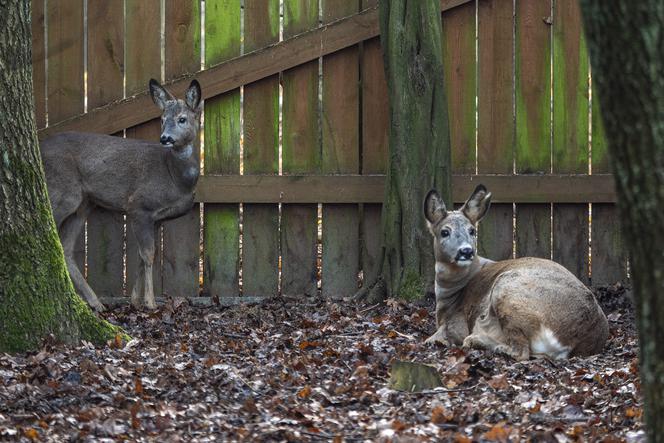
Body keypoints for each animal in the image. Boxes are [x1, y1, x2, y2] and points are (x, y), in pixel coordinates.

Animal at [40, 79, 201, 312]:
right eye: (162, 119)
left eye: (182, 118)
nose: (165, 138)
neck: (174, 177)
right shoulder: (139, 206)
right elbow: (148, 254)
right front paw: (150, 302)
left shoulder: (157, 218)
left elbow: (144, 256)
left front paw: (135, 300)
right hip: (61, 193)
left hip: (83, 205)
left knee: (66, 247)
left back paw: (96, 302)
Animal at [426, 185, 608, 360]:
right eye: (444, 232)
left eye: (472, 230)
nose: (466, 251)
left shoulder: (457, 321)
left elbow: (435, 337)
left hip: (506, 288)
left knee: (520, 352)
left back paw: (477, 340)